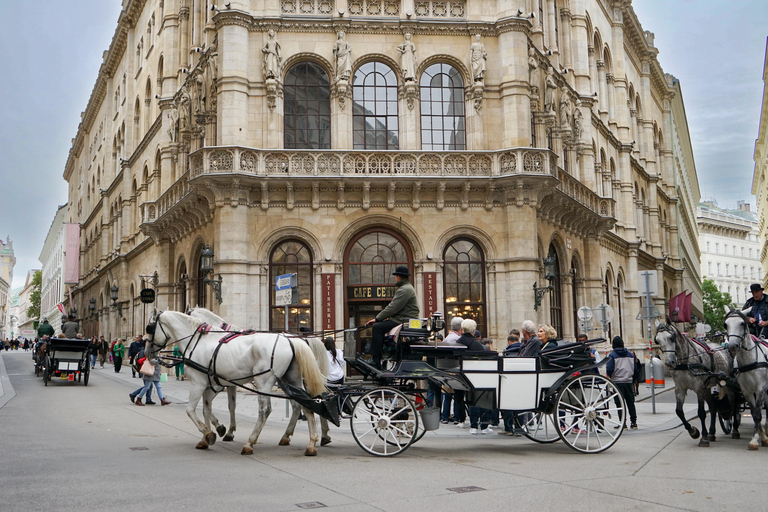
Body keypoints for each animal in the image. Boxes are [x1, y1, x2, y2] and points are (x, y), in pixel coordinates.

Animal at [146, 310, 328, 454]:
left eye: (150, 328)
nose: (148, 352)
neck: (200, 341)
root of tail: (291, 340)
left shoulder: (200, 383)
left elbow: (191, 410)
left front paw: (211, 433)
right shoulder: (211, 385)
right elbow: (207, 409)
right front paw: (209, 436)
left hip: (264, 381)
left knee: (265, 411)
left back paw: (250, 443)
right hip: (293, 379)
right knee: (305, 404)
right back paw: (311, 443)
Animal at [724, 308, 764, 448]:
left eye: (742, 323)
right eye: (726, 324)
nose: (732, 345)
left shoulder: (761, 388)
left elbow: (758, 413)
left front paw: (756, 439)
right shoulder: (747, 391)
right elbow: (755, 413)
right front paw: (759, 437)